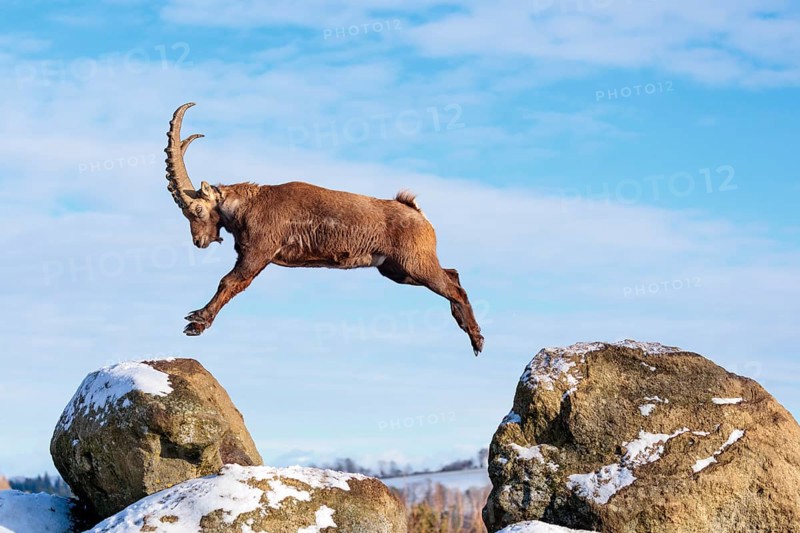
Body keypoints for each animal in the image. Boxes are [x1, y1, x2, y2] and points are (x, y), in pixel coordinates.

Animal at [164, 103, 484, 355]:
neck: (250, 205)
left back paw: (477, 339)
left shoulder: (258, 251)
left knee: (454, 288)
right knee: (453, 275)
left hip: (414, 263)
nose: (198, 241)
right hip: (397, 270)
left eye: (197, 210)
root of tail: (416, 213)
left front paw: (197, 321)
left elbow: (229, 282)